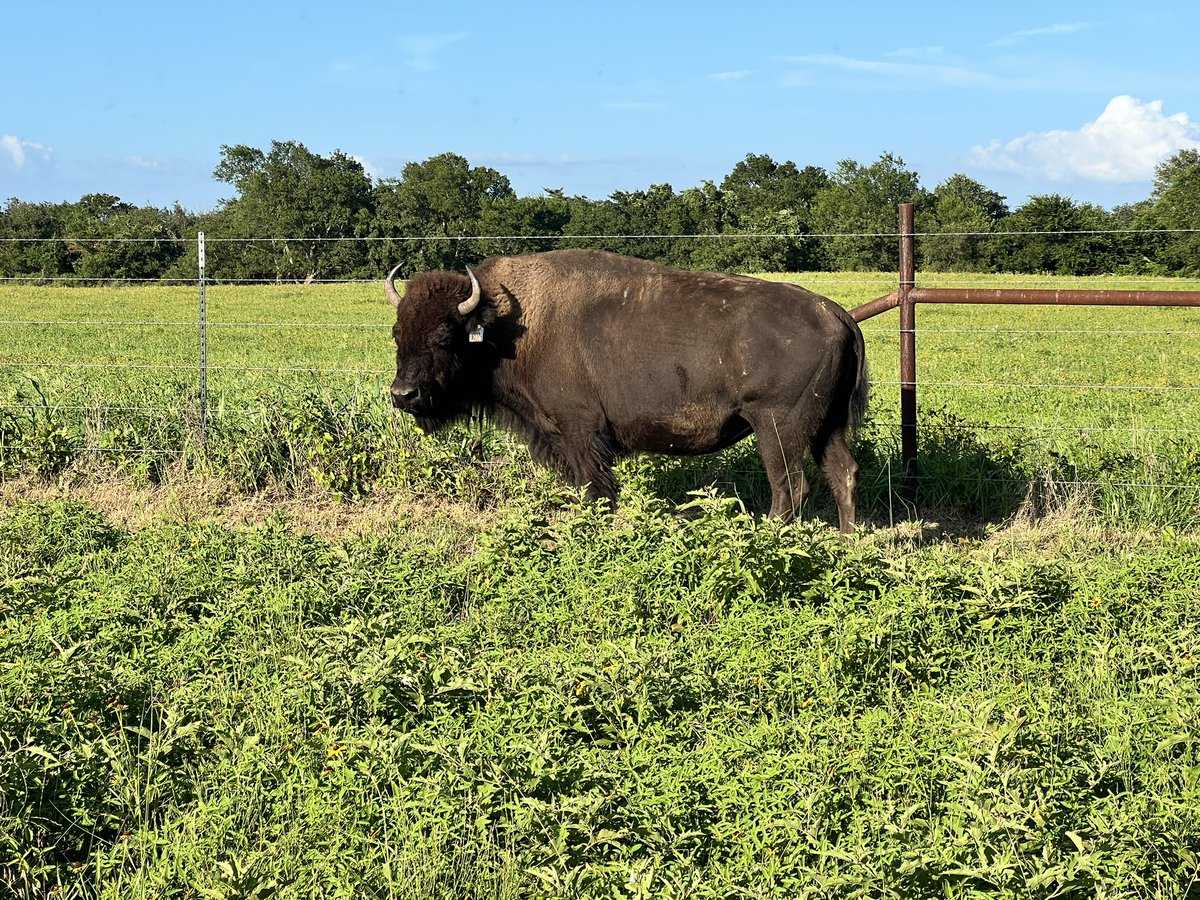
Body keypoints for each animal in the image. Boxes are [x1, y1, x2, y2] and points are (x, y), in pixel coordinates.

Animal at [386, 249, 868, 531]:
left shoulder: (580, 432)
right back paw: (847, 543)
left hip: (777, 428)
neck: (510, 326)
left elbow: (596, 490)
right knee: (842, 473)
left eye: (445, 336)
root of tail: (836, 312)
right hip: (827, 426)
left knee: (790, 487)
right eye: (397, 333)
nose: (403, 395)